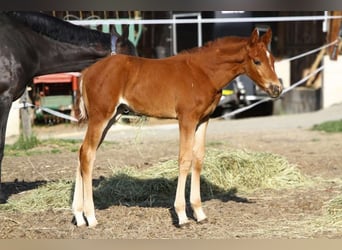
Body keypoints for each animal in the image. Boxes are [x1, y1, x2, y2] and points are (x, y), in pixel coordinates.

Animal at [74, 28, 284, 228]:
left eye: (273, 60)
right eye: (257, 61)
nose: (277, 88)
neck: (203, 72)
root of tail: (86, 72)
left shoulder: (203, 120)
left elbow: (198, 159)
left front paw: (199, 213)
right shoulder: (186, 119)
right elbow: (185, 160)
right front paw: (182, 216)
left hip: (112, 116)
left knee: (82, 152)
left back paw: (79, 216)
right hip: (101, 117)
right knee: (88, 154)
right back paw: (91, 217)